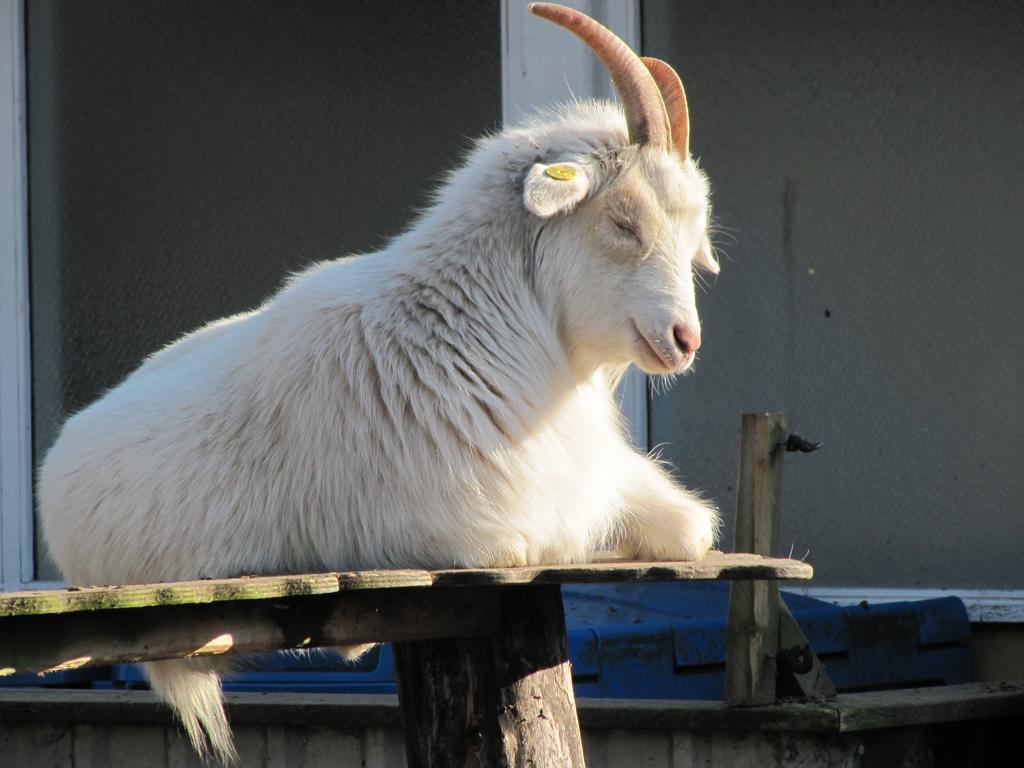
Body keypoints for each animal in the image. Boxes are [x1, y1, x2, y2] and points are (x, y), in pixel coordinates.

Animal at [37, 4, 720, 765]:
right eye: (624, 221)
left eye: (694, 231)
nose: (684, 339)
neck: (465, 330)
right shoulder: (486, 538)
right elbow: (549, 545)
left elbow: (694, 530)